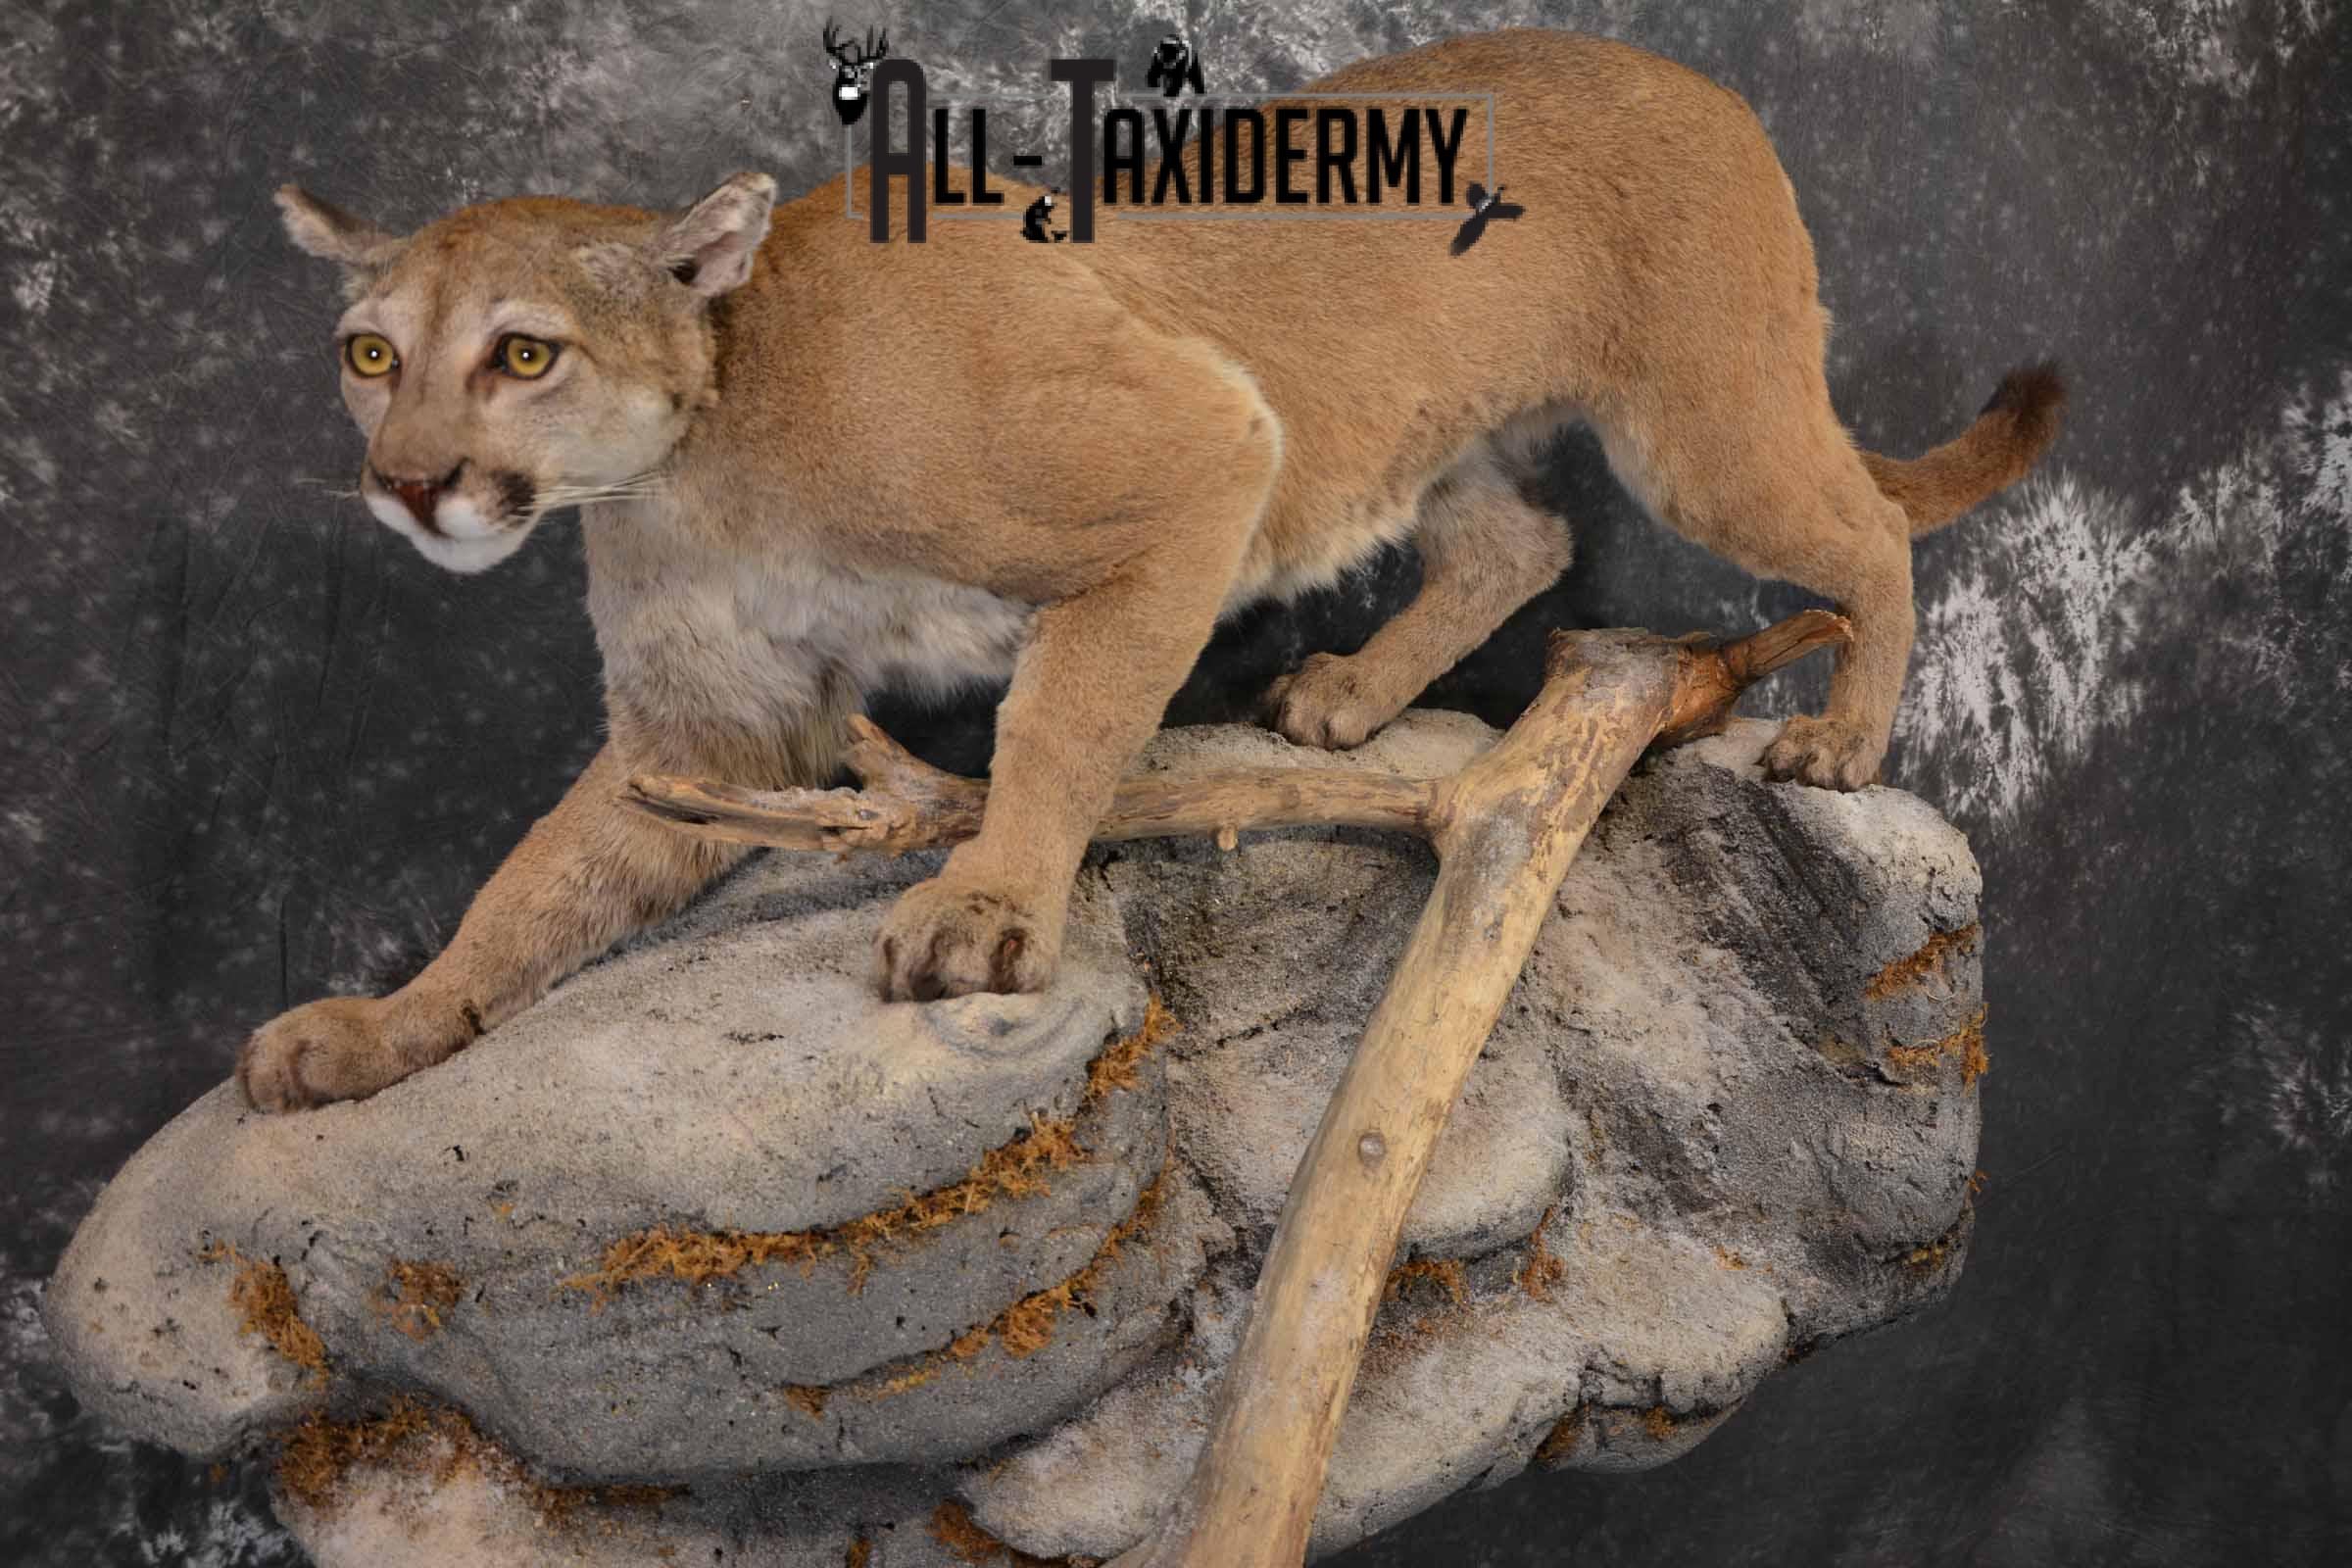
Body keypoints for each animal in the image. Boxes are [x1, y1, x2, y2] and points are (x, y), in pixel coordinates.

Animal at [242, 29, 2061, 1110]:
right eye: (368, 353)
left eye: (524, 354)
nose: (410, 487)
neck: (705, 455)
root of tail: (1694, 72)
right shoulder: (715, 733)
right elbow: (533, 889)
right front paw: (384, 1029)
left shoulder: (1198, 454)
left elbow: (1057, 726)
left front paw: (983, 912)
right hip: (1445, 429)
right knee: (1523, 536)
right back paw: (1347, 702)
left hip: (1702, 424)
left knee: (1868, 530)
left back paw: (1844, 737)